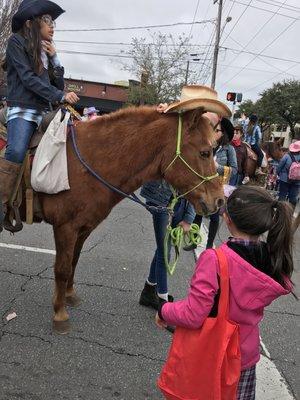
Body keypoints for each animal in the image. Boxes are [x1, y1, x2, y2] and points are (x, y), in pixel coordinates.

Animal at [37, 104, 224, 332]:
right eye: (205, 152)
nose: (220, 200)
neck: (83, 165)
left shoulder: (82, 227)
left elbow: (73, 260)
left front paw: (68, 296)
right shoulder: (66, 226)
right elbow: (62, 268)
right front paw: (60, 313)